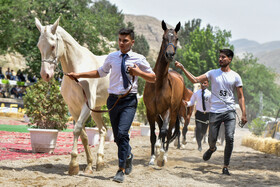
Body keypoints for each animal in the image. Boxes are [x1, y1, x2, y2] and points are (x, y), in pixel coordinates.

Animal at [35, 16, 109, 175]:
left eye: (52, 46)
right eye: (39, 46)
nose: (45, 75)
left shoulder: (86, 106)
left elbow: (76, 130)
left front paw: (73, 164)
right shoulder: (73, 108)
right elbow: (83, 135)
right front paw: (88, 165)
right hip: (97, 109)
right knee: (103, 130)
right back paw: (100, 161)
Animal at [144, 20, 192, 167]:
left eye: (176, 38)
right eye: (164, 37)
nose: (169, 54)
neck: (158, 84)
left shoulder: (168, 110)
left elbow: (165, 131)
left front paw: (161, 157)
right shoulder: (151, 111)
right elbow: (153, 135)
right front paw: (152, 158)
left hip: (174, 112)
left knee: (169, 130)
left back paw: (164, 155)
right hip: (158, 113)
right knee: (161, 129)